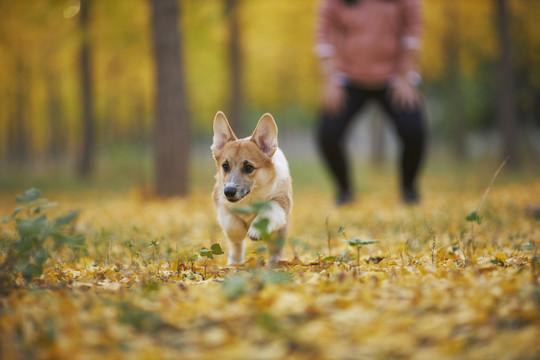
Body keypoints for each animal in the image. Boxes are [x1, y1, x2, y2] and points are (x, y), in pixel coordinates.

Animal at [212, 111, 294, 266]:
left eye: (248, 167)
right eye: (225, 166)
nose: (229, 192)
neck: (250, 197)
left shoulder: (281, 200)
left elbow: (268, 209)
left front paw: (255, 230)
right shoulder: (219, 200)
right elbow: (231, 223)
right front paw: (239, 233)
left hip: (281, 231)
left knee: (275, 248)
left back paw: (274, 263)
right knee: (236, 247)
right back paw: (234, 262)